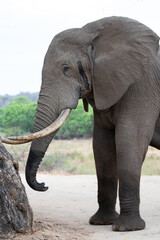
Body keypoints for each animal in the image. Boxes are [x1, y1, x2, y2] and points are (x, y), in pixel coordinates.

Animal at [2, 16, 160, 231]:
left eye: (66, 69)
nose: (43, 185)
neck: (92, 33)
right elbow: (102, 147)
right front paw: (101, 222)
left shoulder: (142, 83)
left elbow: (129, 140)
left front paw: (126, 228)